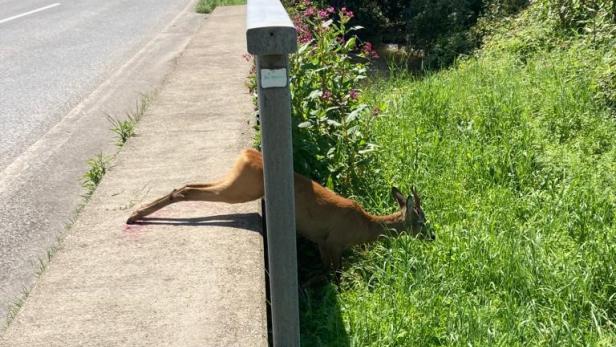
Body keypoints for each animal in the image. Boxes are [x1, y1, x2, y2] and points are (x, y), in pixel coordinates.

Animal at [126, 149, 434, 274]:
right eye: (422, 221)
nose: (433, 237)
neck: (365, 226)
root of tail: (249, 153)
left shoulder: (321, 242)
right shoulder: (334, 241)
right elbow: (334, 273)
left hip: (237, 180)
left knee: (188, 184)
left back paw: (136, 213)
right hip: (243, 188)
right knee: (188, 191)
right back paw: (136, 215)